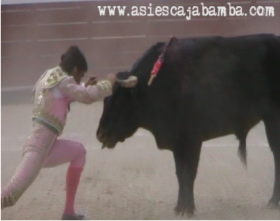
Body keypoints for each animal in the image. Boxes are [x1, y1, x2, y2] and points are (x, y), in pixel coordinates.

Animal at [97, 34, 280, 216]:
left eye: (120, 100)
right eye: (105, 100)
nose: (100, 134)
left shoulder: (192, 140)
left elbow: (189, 174)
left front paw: (189, 208)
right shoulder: (177, 143)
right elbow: (180, 174)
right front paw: (180, 207)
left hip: (273, 120)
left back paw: (273, 201)